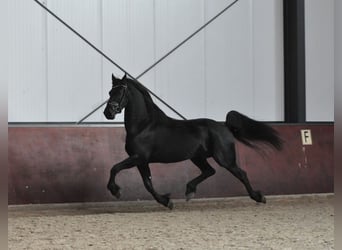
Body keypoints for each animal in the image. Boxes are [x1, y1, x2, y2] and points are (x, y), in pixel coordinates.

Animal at [103, 74, 284, 209]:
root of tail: (224, 126)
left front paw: (115, 190)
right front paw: (166, 201)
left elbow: (115, 168)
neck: (144, 126)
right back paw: (189, 191)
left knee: (241, 174)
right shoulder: (141, 160)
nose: (108, 113)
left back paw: (259, 197)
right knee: (210, 171)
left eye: (121, 91)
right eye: (110, 92)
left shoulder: (138, 157)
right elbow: (147, 183)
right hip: (197, 157)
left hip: (224, 158)